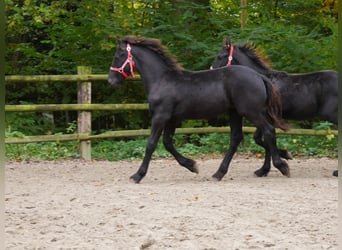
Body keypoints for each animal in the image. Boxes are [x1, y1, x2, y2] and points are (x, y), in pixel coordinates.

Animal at [108, 36, 290, 183]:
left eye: (118, 56)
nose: (111, 81)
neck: (162, 80)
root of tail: (260, 76)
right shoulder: (172, 119)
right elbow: (168, 143)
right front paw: (192, 165)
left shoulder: (161, 117)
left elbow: (151, 144)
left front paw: (137, 175)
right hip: (235, 113)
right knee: (236, 138)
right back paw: (219, 173)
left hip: (252, 112)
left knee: (268, 130)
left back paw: (282, 166)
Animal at [210, 37, 338, 178]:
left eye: (220, 56)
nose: (211, 71)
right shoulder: (266, 117)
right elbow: (262, 140)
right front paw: (268, 167)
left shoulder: (264, 116)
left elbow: (264, 139)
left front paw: (281, 160)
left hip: (333, 115)